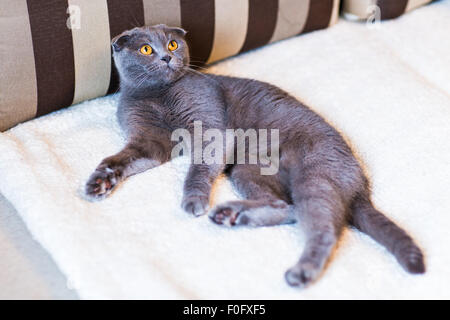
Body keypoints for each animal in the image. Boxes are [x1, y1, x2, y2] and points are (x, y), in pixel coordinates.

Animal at [85, 23, 426, 286]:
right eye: (146, 49)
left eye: (172, 43)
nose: (168, 56)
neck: (157, 95)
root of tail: (361, 184)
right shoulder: (149, 141)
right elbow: (121, 159)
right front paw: (99, 182)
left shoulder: (211, 128)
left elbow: (197, 169)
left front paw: (194, 200)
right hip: (248, 170)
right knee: (286, 207)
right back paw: (233, 214)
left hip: (315, 176)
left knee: (324, 228)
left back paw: (300, 272)